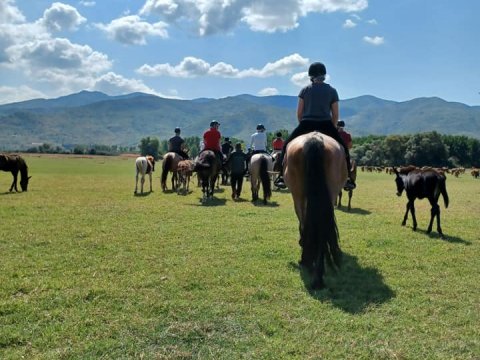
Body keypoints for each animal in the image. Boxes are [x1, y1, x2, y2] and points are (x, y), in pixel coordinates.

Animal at [284, 132, 346, 290]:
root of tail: (315, 139)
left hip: (298, 196)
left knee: (304, 222)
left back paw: (308, 262)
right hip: (329, 194)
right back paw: (317, 273)